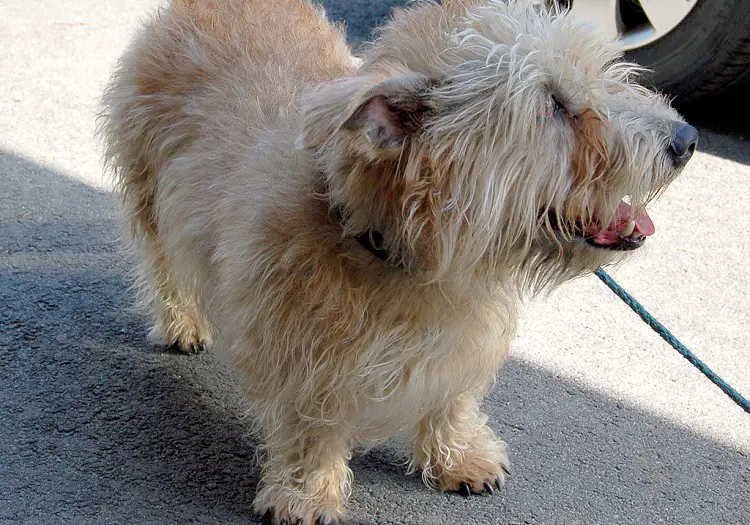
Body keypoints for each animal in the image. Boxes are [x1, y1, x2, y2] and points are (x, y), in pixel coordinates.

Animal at [100, 2, 700, 520]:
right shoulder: (300, 354)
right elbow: (311, 425)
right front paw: (306, 495)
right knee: (164, 264)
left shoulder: (463, 343)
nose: (687, 138)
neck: (407, 257)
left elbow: (453, 397)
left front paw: (458, 454)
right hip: (154, 195)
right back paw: (181, 322)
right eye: (552, 103)